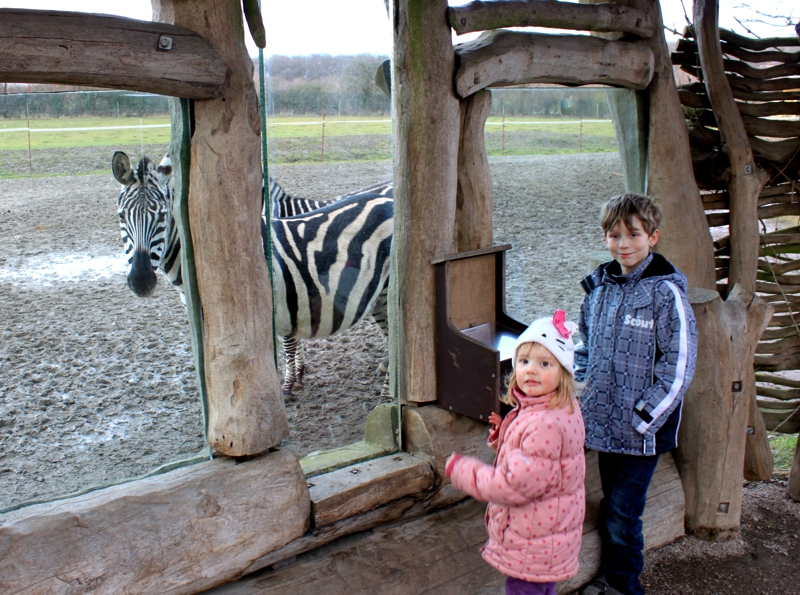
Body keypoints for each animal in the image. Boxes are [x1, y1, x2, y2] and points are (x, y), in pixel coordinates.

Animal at [111, 151, 394, 398]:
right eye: (121, 215)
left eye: (162, 215)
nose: (141, 281)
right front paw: (298, 374)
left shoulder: (285, 292)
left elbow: (286, 343)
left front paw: (288, 384)